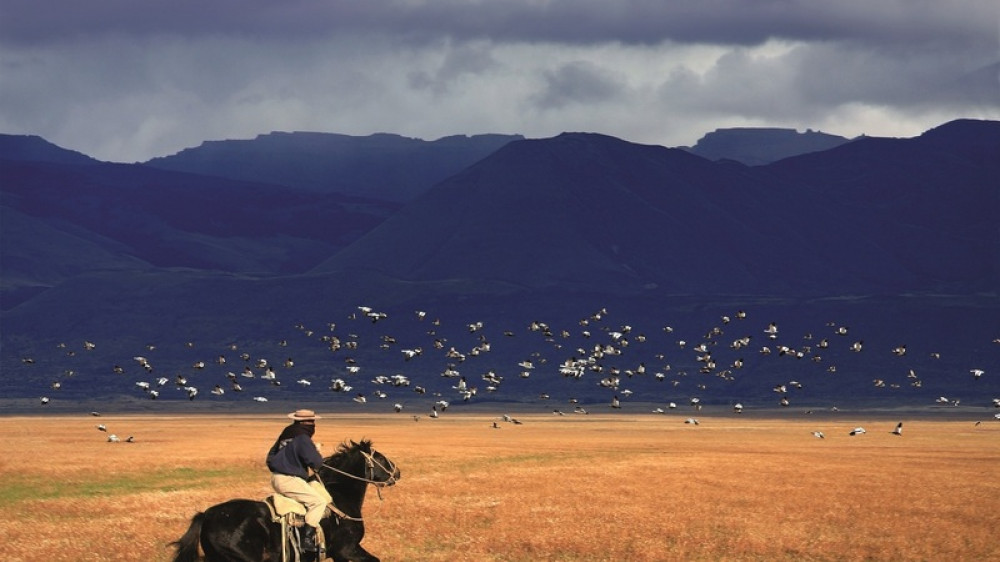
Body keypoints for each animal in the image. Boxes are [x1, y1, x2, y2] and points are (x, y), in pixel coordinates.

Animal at [174, 438, 400, 560]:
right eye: (380, 458)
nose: (397, 472)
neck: (339, 496)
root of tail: (206, 515)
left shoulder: (338, 555)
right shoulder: (347, 550)